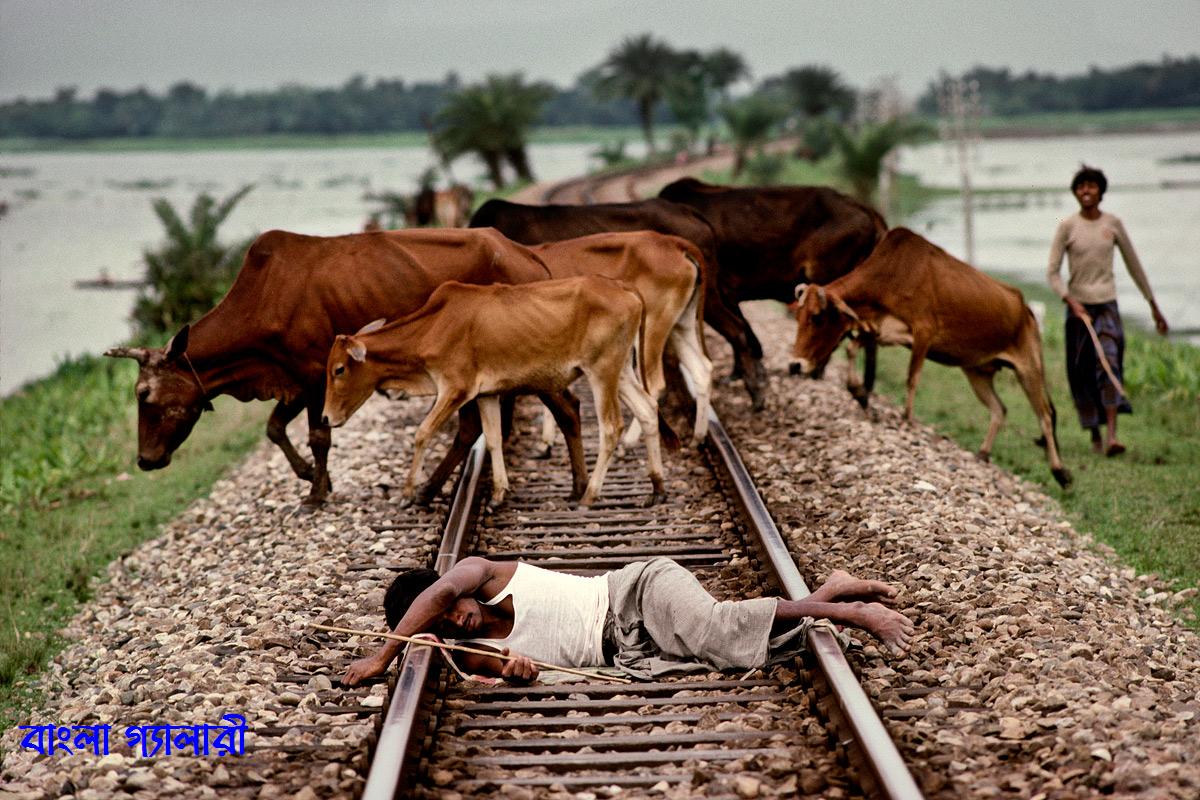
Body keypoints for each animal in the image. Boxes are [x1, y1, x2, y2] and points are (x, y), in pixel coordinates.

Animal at [104, 227, 590, 506]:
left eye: (145, 395)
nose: (145, 460)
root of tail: (526, 254)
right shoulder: (294, 380)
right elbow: (275, 429)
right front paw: (312, 478)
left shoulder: (313, 375)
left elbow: (318, 435)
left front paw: (316, 491)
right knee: (473, 428)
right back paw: (432, 489)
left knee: (561, 409)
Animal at [322, 276, 670, 507]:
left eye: (338, 369)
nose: (326, 418)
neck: (433, 326)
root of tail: (626, 289)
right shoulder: (485, 394)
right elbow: (492, 439)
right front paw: (500, 493)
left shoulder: (455, 389)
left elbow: (422, 433)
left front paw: (409, 492)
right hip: (622, 372)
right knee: (647, 410)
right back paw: (656, 488)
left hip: (602, 371)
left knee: (611, 427)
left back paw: (589, 494)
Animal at [530, 231, 713, 450]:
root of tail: (672, 242)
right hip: (680, 322)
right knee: (701, 368)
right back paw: (698, 437)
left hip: (652, 325)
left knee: (653, 384)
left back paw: (629, 440)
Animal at [658, 177, 888, 409]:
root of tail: (866, 210)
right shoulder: (727, 294)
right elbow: (745, 332)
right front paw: (744, 374)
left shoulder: (720, 291)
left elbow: (740, 332)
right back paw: (863, 388)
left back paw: (824, 376)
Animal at [789, 227, 1072, 489]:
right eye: (798, 316)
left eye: (817, 317)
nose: (796, 364)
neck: (890, 276)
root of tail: (1025, 309)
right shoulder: (881, 331)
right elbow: (851, 349)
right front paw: (859, 392)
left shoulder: (923, 333)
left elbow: (912, 378)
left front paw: (906, 419)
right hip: (977, 371)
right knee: (999, 409)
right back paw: (983, 453)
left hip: (1029, 370)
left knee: (1045, 414)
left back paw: (1060, 472)